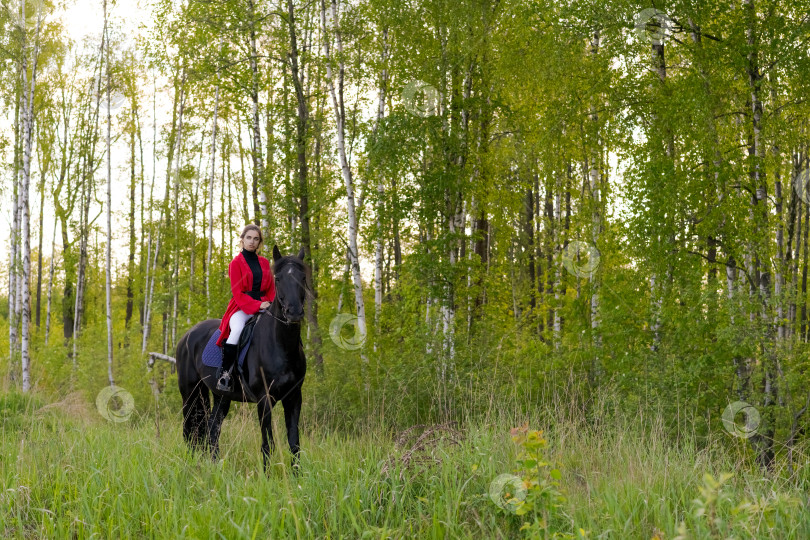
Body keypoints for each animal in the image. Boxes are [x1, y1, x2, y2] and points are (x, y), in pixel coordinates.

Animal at [178, 246, 308, 472]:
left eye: (302, 276)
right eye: (278, 278)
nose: (294, 313)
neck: (281, 345)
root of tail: (187, 336)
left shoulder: (294, 397)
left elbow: (294, 443)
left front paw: (297, 477)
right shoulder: (264, 399)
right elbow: (268, 443)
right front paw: (267, 477)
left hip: (221, 396)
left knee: (212, 428)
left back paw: (215, 466)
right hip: (190, 393)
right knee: (189, 429)